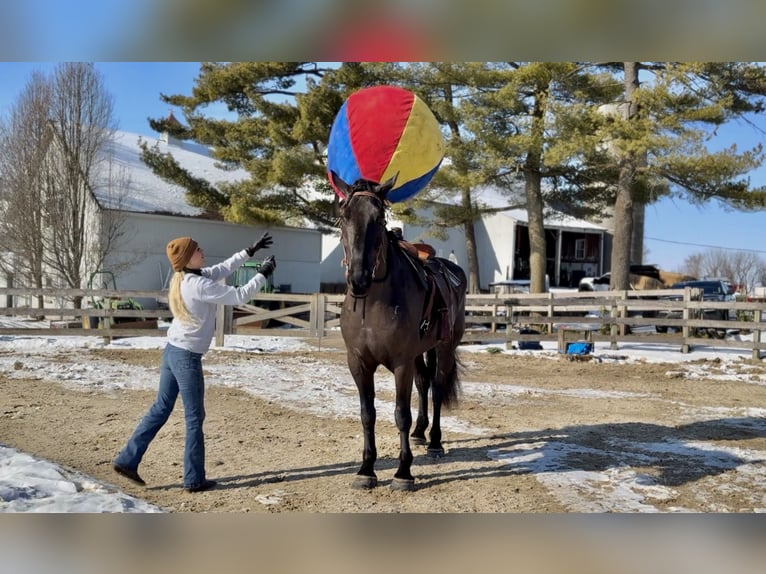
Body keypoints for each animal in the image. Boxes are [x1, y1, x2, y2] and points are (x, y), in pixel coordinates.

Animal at [332, 171, 468, 491]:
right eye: (344, 216)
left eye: (379, 217)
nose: (358, 279)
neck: (373, 303)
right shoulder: (358, 363)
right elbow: (367, 414)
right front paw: (366, 469)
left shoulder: (401, 364)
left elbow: (400, 414)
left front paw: (403, 472)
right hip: (420, 353)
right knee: (424, 383)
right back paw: (420, 432)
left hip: (445, 348)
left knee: (437, 387)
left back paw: (434, 442)